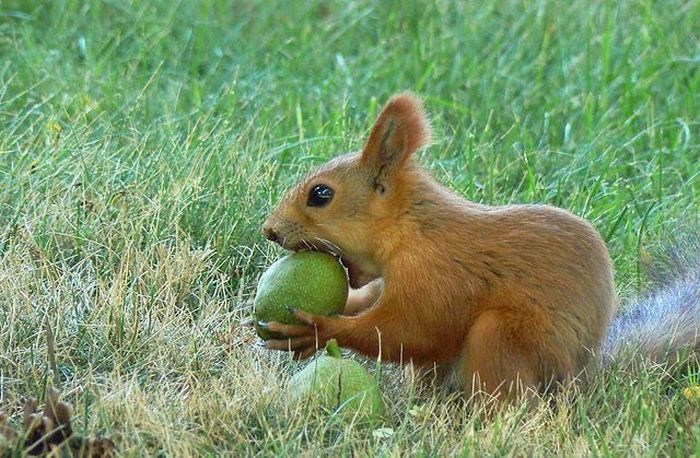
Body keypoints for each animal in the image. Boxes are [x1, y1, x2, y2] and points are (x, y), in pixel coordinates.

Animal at [258, 93, 700, 398]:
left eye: (321, 195)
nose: (270, 230)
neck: (410, 228)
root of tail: (581, 378)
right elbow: (373, 305)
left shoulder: (434, 274)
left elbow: (411, 332)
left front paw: (318, 330)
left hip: (506, 337)